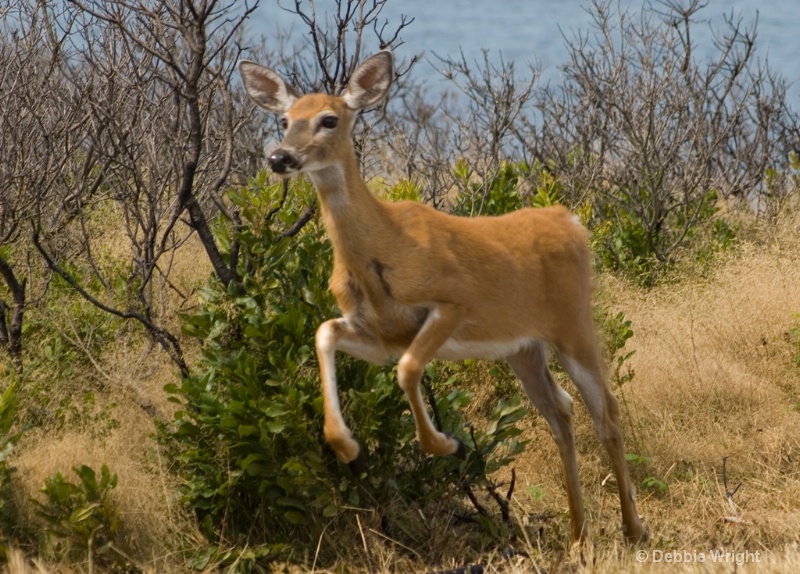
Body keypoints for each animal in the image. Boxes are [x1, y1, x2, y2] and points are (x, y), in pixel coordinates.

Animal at [238, 48, 644, 544]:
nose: (280, 157)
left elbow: (410, 368)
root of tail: (570, 220)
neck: (384, 249)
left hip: (574, 324)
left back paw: (632, 529)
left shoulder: (453, 303)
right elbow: (324, 333)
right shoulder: (380, 335)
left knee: (606, 411)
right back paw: (578, 534)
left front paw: (446, 443)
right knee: (561, 412)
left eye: (329, 119)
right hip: (523, 348)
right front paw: (346, 445)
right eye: (283, 119)